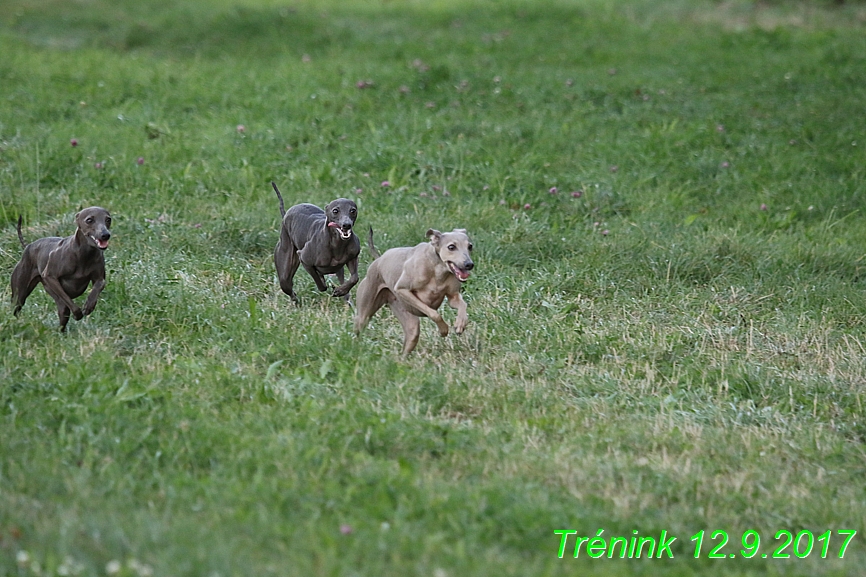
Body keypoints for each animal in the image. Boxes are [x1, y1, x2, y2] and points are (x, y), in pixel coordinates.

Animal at [352, 226, 472, 356]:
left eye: (470, 246)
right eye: (451, 247)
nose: (469, 264)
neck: (437, 270)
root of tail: (379, 259)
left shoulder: (453, 296)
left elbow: (462, 305)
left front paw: (460, 323)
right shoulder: (402, 290)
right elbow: (434, 313)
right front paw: (443, 329)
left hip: (409, 323)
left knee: (410, 339)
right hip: (364, 313)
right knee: (359, 327)